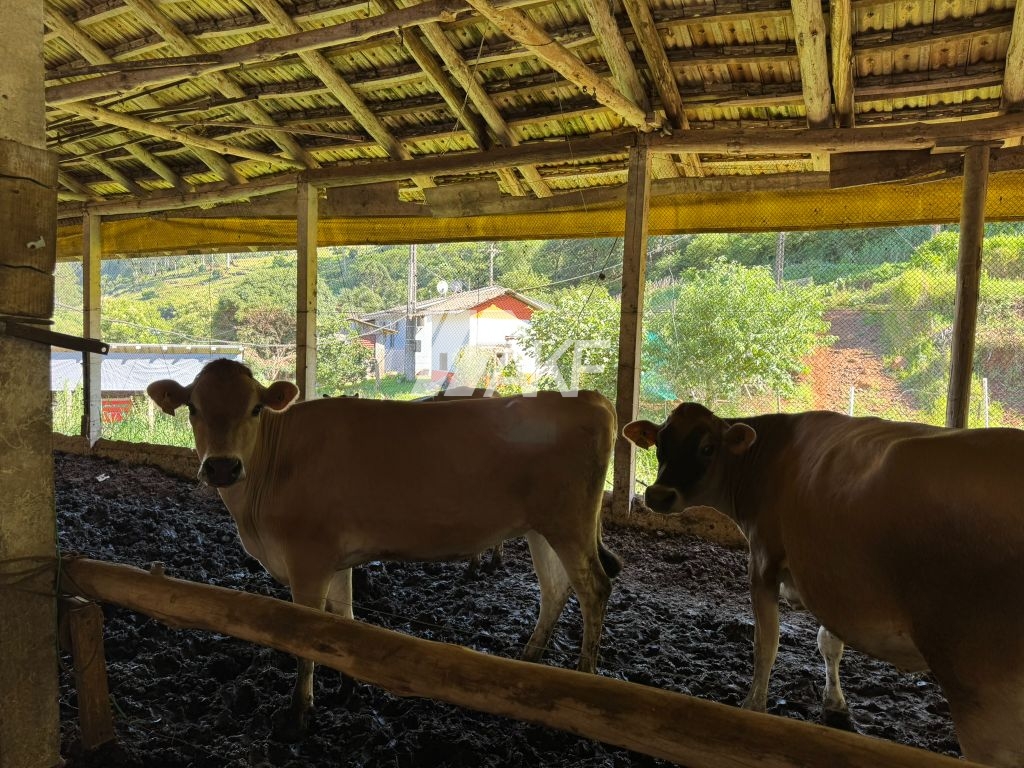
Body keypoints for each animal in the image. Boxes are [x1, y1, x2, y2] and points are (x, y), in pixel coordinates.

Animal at [148, 359, 620, 740]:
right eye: (193, 408)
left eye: (256, 408)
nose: (222, 467)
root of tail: (592, 398)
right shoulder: (334, 560)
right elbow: (343, 620)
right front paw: (346, 687)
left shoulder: (307, 561)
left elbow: (305, 641)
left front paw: (298, 716)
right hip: (542, 528)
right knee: (555, 590)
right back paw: (531, 662)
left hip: (570, 524)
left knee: (593, 589)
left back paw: (589, 683)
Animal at [624, 403, 1024, 767]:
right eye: (660, 444)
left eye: (707, 447)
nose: (657, 495)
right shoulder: (830, 579)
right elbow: (829, 642)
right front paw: (835, 706)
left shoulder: (763, 562)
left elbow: (766, 644)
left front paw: (752, 708)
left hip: (981, 689)